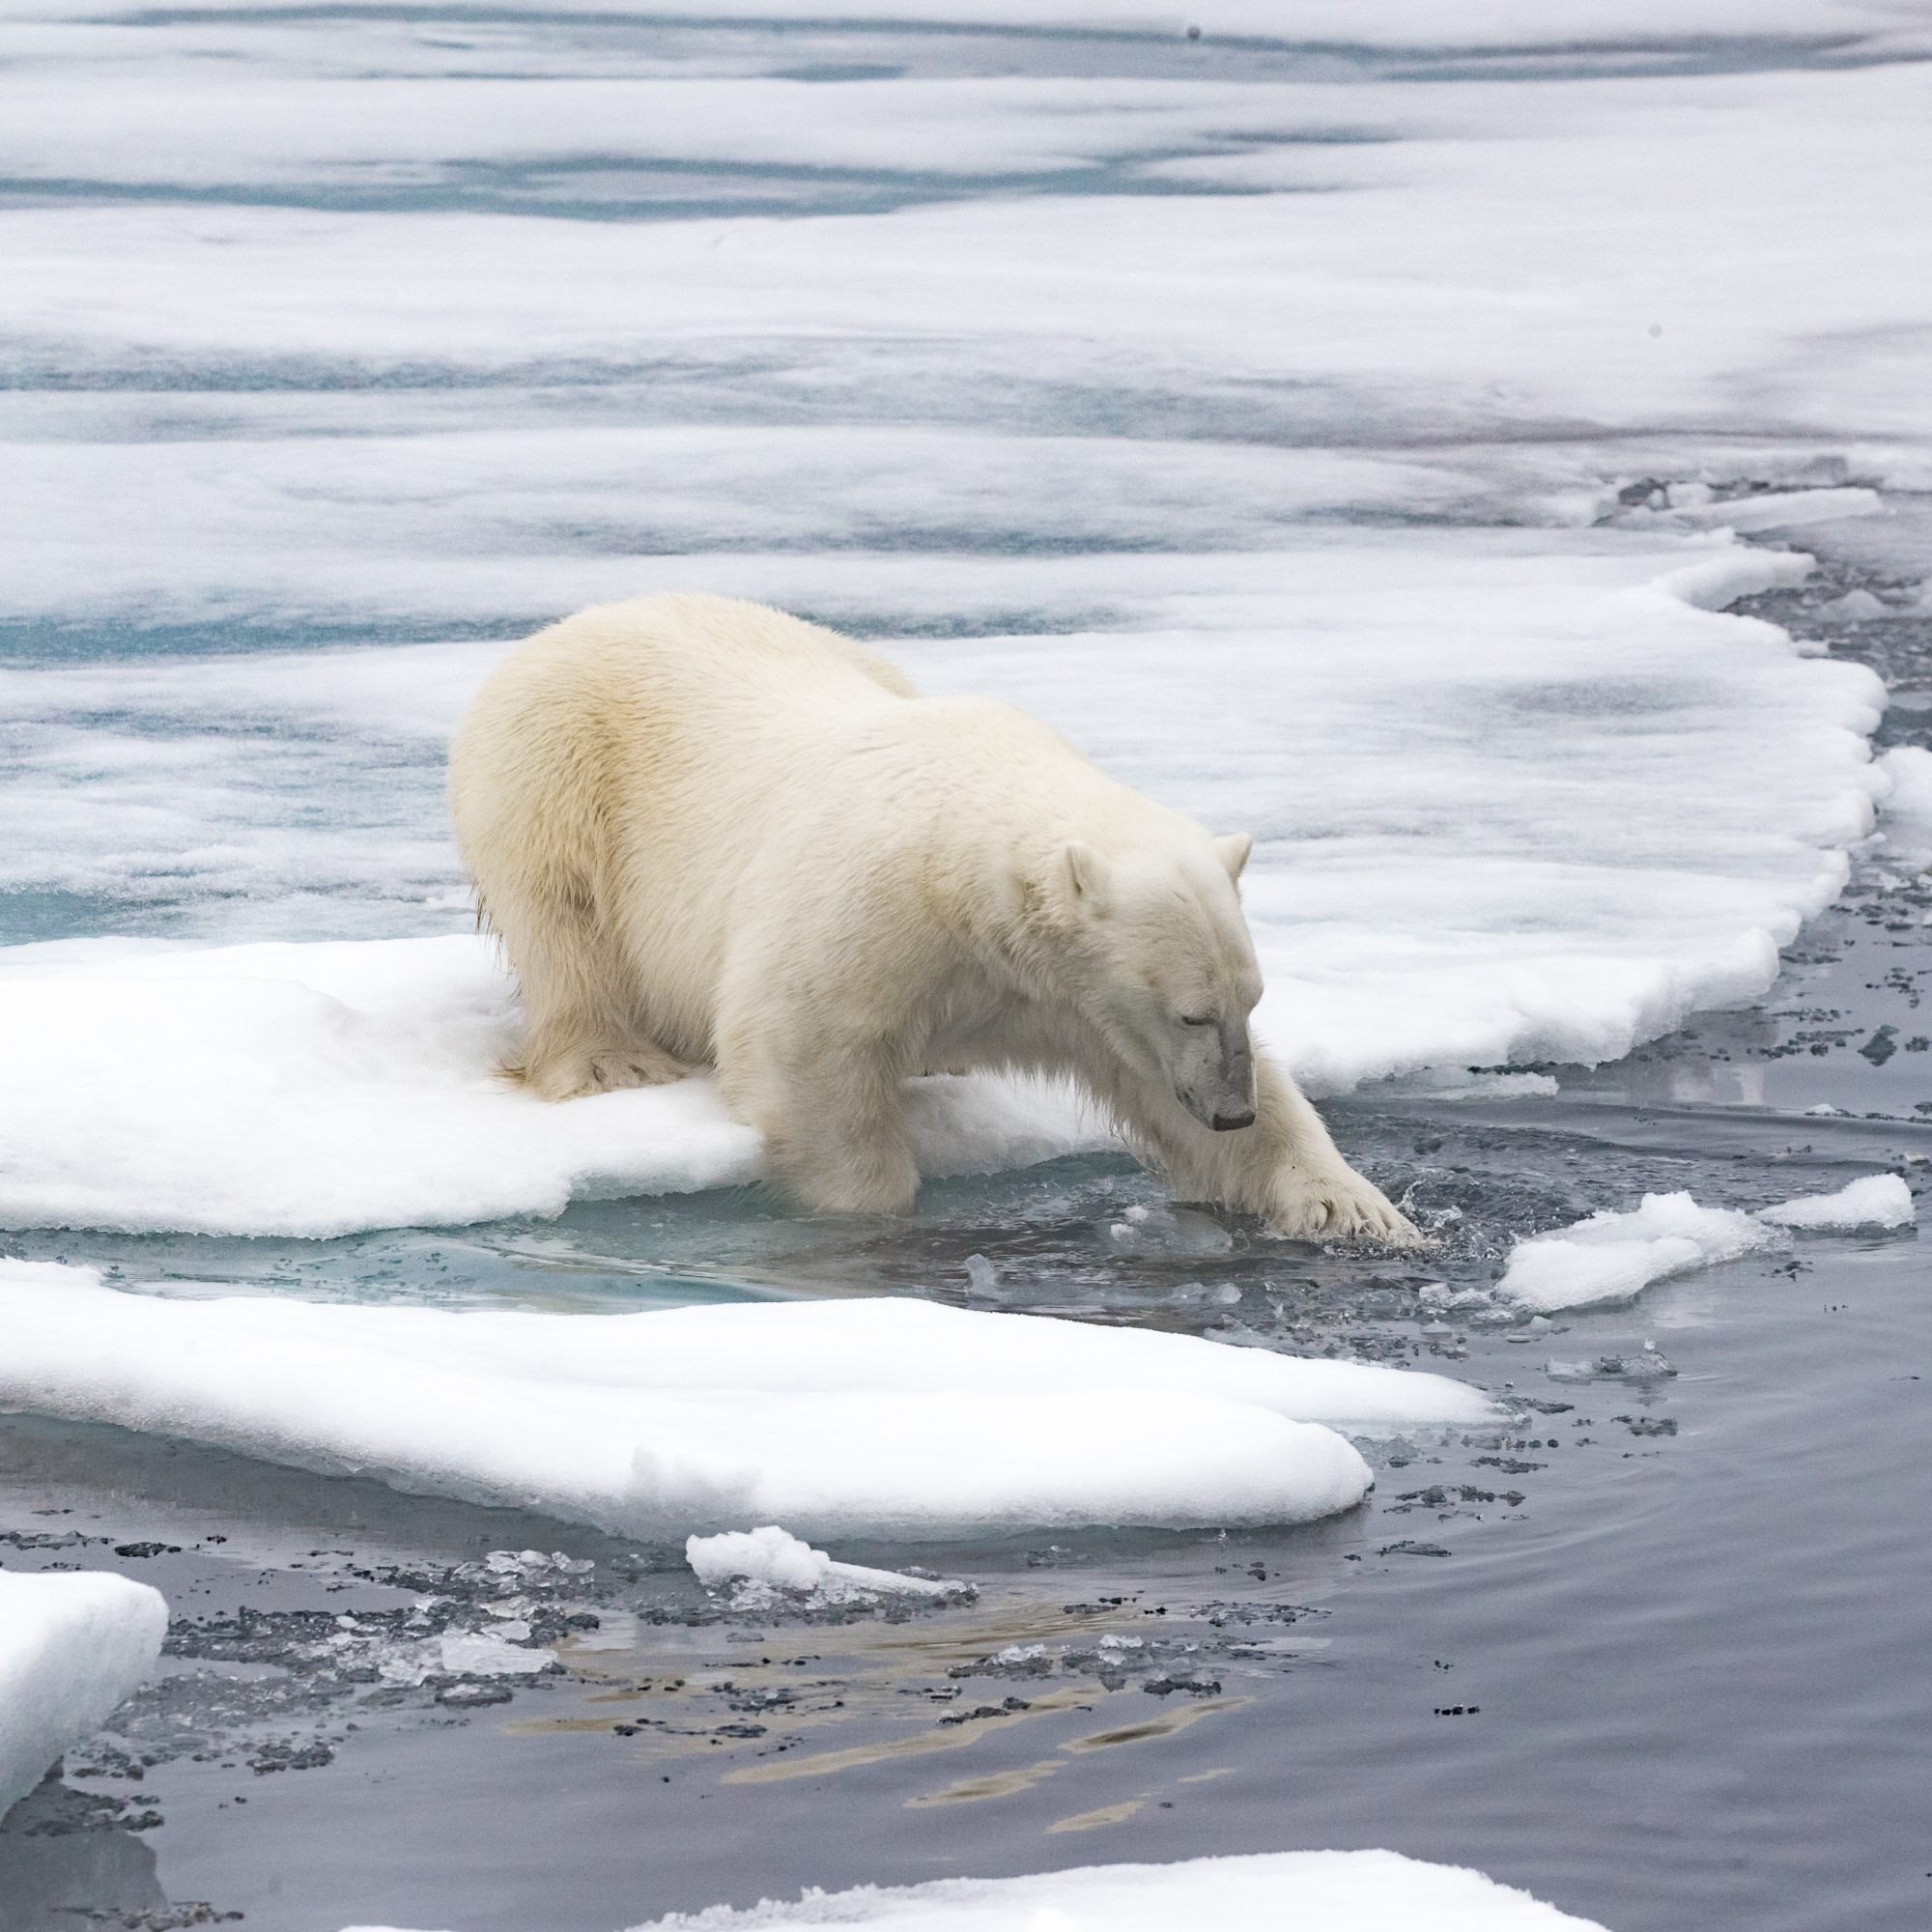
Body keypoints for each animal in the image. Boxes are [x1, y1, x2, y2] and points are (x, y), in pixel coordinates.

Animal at [448, 595, 1422, 1244]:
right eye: (1192, 1010)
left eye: (1247, 1003)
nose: (1230, 1112)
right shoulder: (867, 909)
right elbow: (800, 1042)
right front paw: (871, 1213)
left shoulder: (1063, 993)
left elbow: (1159, 1088)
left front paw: (1350, 1206)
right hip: (555, 766)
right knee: (560, 912)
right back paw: (608, 1060)